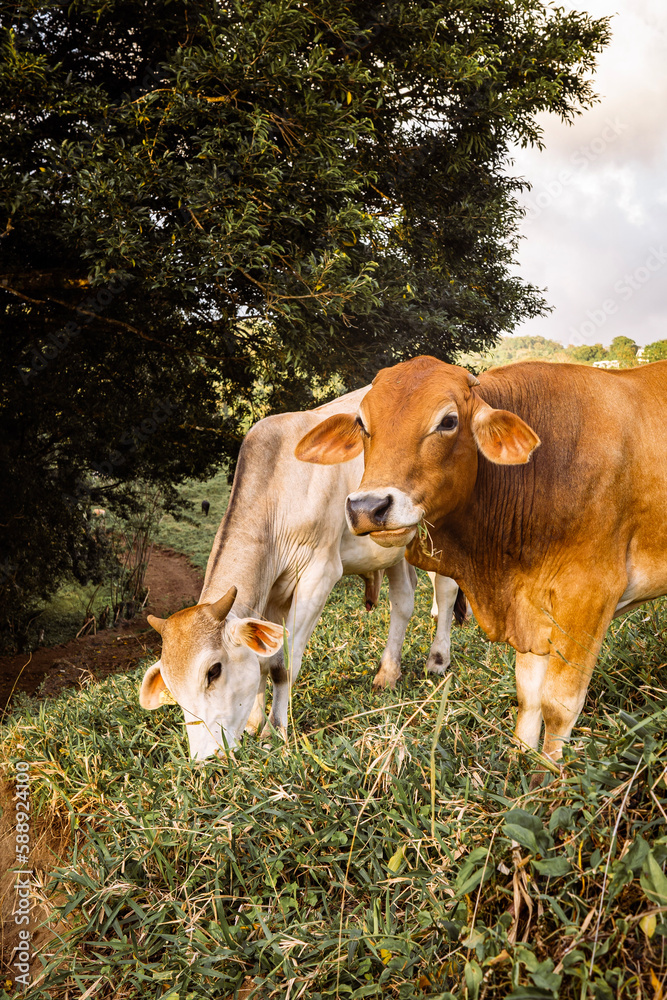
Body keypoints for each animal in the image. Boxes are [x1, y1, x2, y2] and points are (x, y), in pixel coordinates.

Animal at [139, 385, 463, 759]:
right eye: (172, 689)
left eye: (213, 671)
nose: (206, 758)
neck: (279, 488)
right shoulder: (271, 594)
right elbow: (263, 661)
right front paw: (254, 723)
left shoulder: (318, 575)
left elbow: (282, 665)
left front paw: (275, 730)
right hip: (394, 548)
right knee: (404, 599)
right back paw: (388, 673)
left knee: (445, 588)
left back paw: (438, 658)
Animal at [295, 355, 667, 771]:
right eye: (362, 423)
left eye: (447, 421)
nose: (367, 507)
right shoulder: (530, 607)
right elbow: (529, 694)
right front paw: (520, 759)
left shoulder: (588, 598)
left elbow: (559, 705)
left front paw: (547, 776)